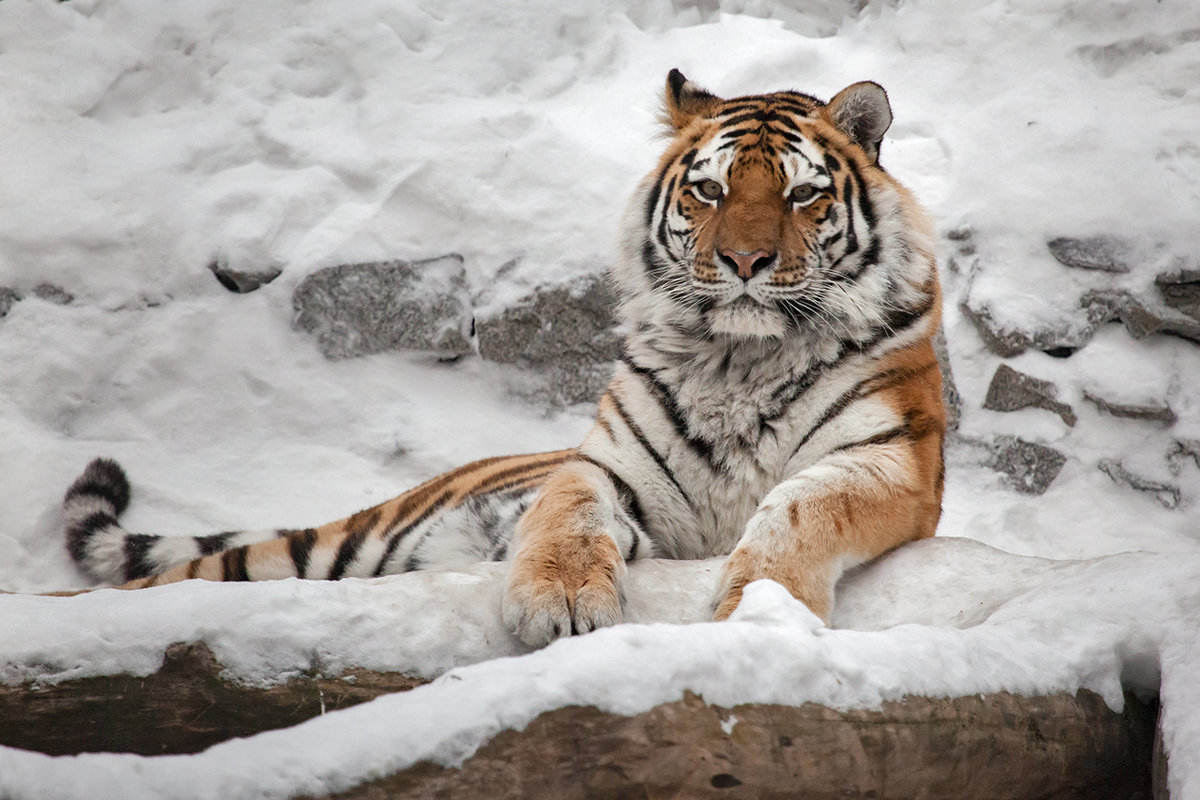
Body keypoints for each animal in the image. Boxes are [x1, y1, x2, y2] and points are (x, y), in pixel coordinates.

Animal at [60, 71, 945, 652]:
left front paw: (760, 608)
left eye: (802, 195)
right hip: (317, 553)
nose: (745, 262)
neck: (739, 356)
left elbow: (801, 507)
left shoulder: (889, 461)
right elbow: (567, 513)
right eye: (709, 191)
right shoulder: (607, 465)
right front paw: (560, 602)